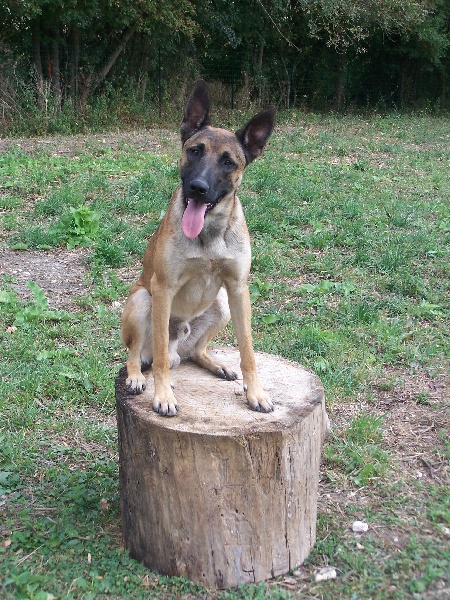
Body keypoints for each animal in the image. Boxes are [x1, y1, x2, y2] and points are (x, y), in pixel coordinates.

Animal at [120, 79, 274, 414]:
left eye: (228, 162)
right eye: (194, 151)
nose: (198, 188)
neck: (209, 235)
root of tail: (180, 345)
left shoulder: (238, 289)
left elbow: (248, 350)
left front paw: (256, 392)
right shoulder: (162, 287)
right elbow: (161, 360)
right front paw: (163, 395)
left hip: (222, 305)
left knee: (195, 352)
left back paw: (216, 364)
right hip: (141, 300)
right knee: (139, 354)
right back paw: (137, 376)